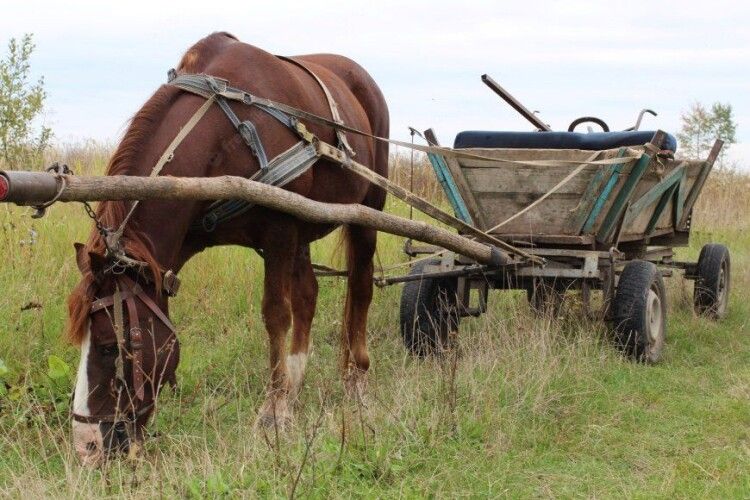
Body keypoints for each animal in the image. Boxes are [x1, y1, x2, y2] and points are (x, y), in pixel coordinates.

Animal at [67, 33, 390, 466]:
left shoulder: (280, 230)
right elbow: (295, 305)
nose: (86, 446)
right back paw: (296, 381)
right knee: (309, 296)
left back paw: (355, 379)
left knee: (360, 289)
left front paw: (272, 410)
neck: (224, 131)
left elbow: (275, 314)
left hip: (368, 209)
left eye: (107, 347)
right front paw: (284, 398)